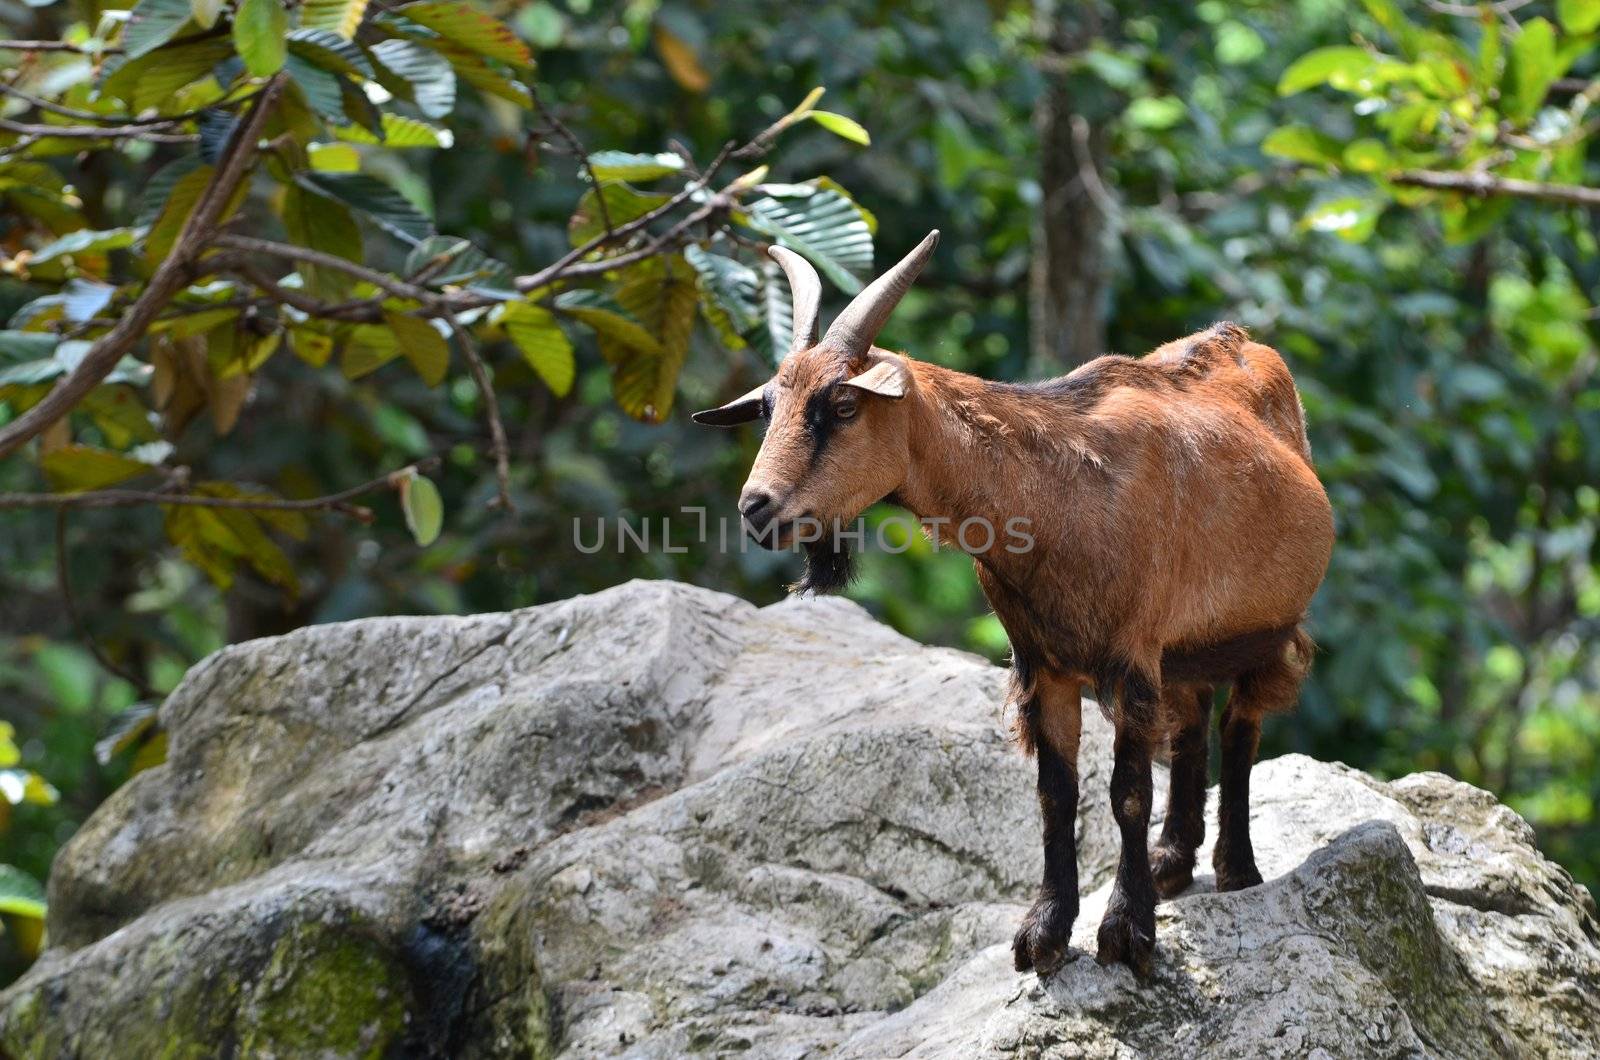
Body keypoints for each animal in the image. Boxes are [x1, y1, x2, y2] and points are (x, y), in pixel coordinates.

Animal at [694, 232, 1331, 979]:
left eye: (844, 406)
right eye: (769, 406)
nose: (757, 508)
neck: (1054, 491)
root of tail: (1245, 343)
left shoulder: (1131, 655)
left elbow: (1127, 792)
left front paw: (1127, 934)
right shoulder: (1044, 664)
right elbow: (1056, 795)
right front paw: (1043, 933)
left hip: (1271, 629)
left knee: (1239, 727)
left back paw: (1236, 871)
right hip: (1186, 648)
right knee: (1193, 719)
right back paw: (1174, 863)